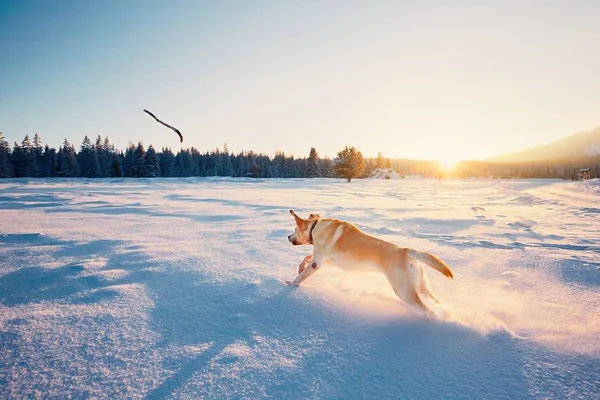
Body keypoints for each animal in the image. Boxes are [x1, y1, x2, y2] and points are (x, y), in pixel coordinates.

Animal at [288, 209, 452, 316]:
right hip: (421, 287)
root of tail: (405, 250)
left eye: (294, 229)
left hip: (404, 291)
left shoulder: (317, 262)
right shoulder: (325, 260)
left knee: (427, 311)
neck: (314, 228)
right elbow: (306, 258)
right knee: (435, 302)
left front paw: (291, 284)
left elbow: (301, 277)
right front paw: (300, 267)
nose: (288, 237)